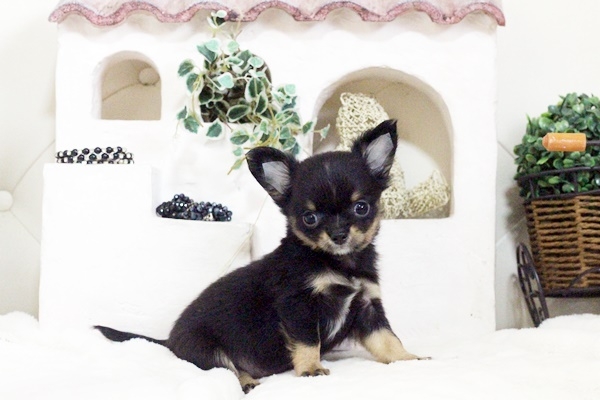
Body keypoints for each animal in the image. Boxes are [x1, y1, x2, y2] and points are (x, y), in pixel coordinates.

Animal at [96, 119, 422, 393]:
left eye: (361, 208)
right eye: (310, 218)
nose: (339, 235)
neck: (338, 262)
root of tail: (169, 342)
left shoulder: (367, 304)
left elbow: (387, 339)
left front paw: (408, 358)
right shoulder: (298, 305)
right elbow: (308, 342)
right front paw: (311, 369)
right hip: (208, 350)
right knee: (227, 369)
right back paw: (248, 381)